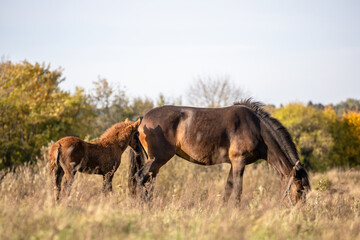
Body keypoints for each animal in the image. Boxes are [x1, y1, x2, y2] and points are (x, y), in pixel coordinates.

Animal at [129, 99, 310, 206]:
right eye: (299, 190)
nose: (300, 215)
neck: (256, 128)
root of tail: (143, 118)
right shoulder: (239, 162)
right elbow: (237, 191)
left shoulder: (233, 164)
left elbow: (228, 190)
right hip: (157, 159)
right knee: (140, 178)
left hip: (156, 164)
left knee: (149, 183)